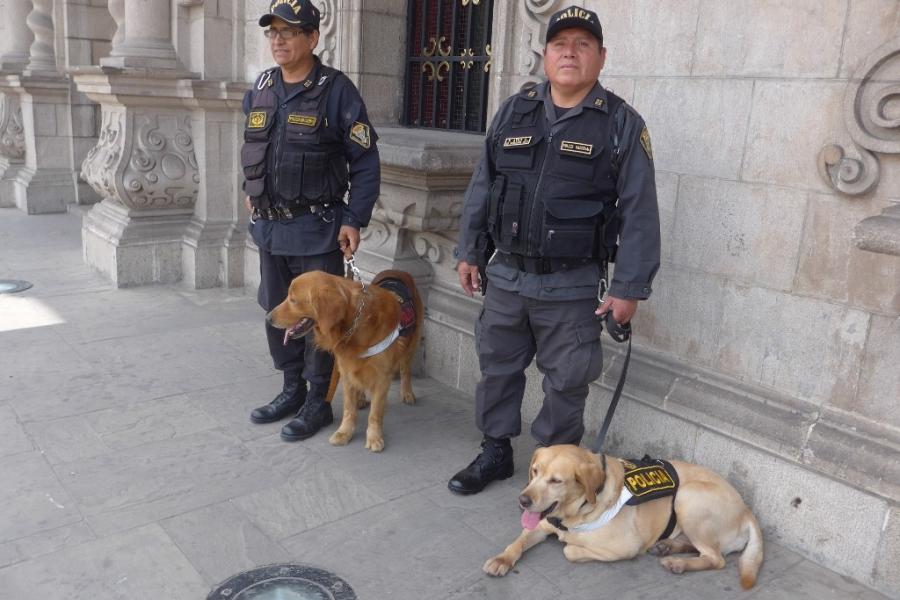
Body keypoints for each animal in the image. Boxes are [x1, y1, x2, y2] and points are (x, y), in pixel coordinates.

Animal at [266, 270, 424, 452]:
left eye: (293, 300)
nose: (268, 318)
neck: (355, 323)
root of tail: (396, 271)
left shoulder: (382, 378)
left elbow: (375, 413)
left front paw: (374, 437)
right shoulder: (346, 370)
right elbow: (349, 409)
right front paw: (345, 432)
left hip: (411, 344)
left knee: (405, 369)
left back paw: (407, 392)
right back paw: (361, 398)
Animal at [486, 446, 768, 592]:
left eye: (556, 481)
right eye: (535, 471)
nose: (523, 500)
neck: (578, 508)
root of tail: (747, 510)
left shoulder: (625, 546)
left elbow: (570, 550)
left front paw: (571, 542)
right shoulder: (541, 524)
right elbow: (517, 543)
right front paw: (502, 559)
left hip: (689, 497)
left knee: (716, 558)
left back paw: (678, 563)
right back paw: (668, 547)